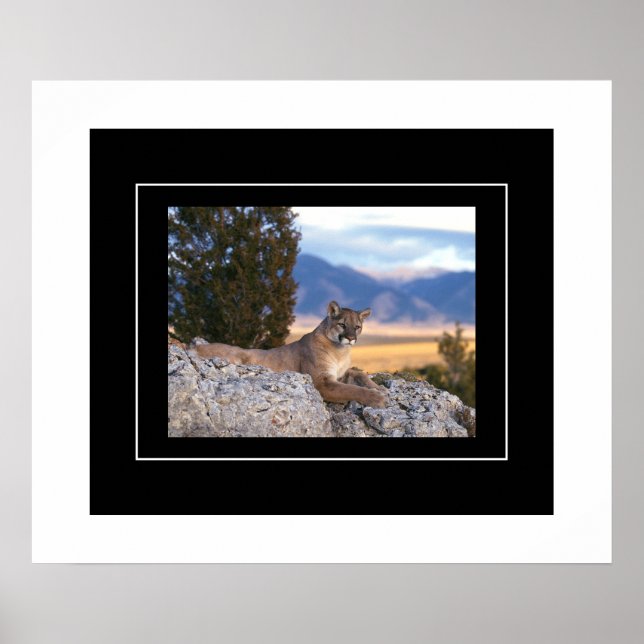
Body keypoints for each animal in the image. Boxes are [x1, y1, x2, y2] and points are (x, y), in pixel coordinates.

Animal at [194, 301, 388, 408]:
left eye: (357, 327)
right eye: (342, 324)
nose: (350, 338)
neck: (340, 351)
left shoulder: (339, 373)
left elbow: (358, 373)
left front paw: (378, 387)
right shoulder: (323, 382)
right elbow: (352, 389)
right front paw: (377, 397)